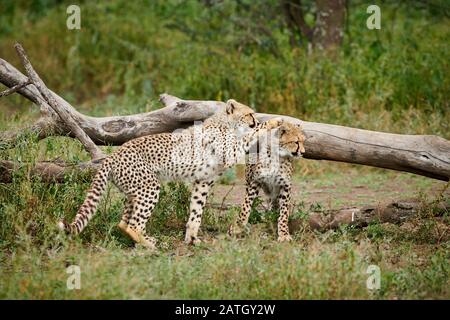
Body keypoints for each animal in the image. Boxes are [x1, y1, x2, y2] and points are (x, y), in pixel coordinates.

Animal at [57, 99, 280, 249]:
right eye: (249, 114)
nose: (254, 120)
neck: (226, 123)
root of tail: (114, 155)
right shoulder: (229, 152)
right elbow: (249, 136)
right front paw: (272, 123)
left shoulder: (203, 181)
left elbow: (196, 211)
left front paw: (192, 238)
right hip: (149, 187)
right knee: (134, 224)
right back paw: (150, 245)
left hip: (134, 191)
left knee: (123, 223)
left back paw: (145, 239)